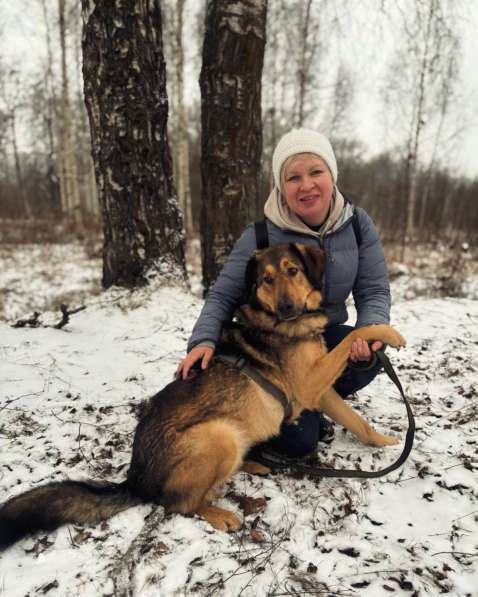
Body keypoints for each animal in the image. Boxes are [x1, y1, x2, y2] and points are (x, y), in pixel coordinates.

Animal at [0, 240, 406, 548]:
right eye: (267, 279)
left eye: (293, 271)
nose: (287, 309)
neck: (284, 325)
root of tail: (136, 480)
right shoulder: (309, 384)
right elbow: (356, 336)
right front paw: (386, 332)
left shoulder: (320, 392)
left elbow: (357, 420)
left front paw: (385, 442)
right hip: (217, 435)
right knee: (180, 503)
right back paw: (221, 513)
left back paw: (253, 463)